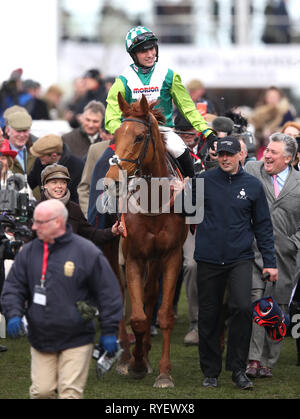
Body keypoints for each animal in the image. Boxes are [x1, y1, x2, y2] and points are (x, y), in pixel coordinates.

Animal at [104, 93, 186, 388]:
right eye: (116, 134)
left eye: (140, 137)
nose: (112, 181)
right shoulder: (133, 257)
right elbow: (138, 317)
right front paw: (136, 363)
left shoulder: (171, 255)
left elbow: (162, 314)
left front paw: (163, 372)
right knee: (121, 297)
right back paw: (127, 357)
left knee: (150, 296)